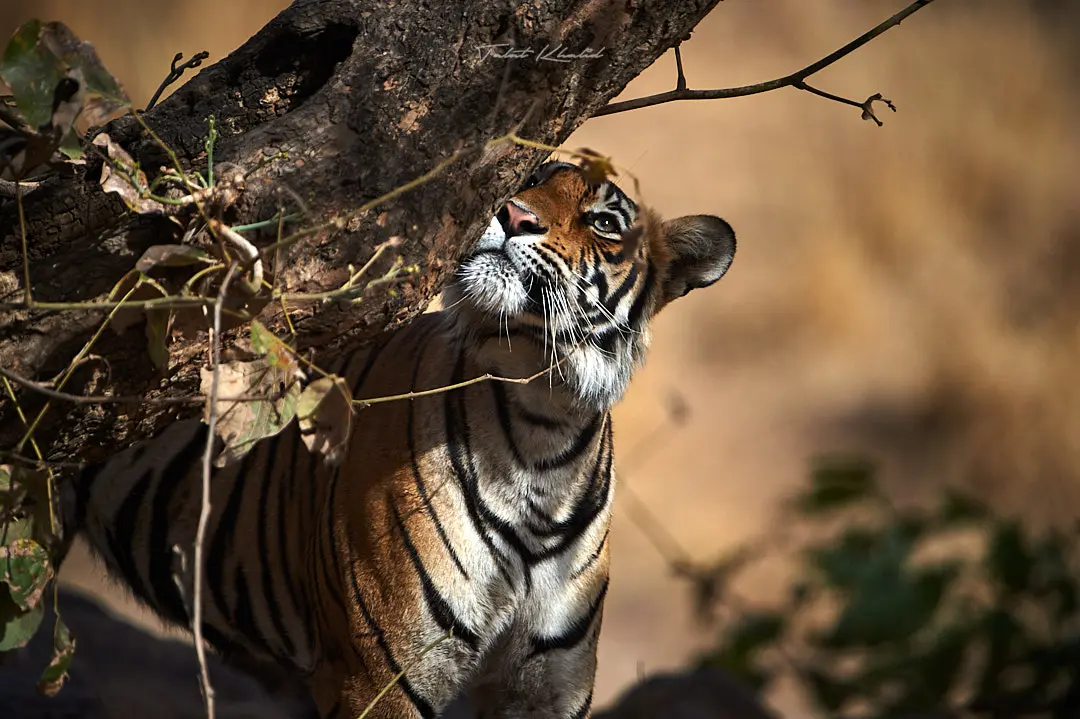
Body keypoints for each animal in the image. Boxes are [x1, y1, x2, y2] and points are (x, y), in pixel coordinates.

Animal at [63, 159, 736, 719]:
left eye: (603, 222)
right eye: (529, 178)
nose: (513, 215)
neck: (542, 423)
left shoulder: (546, 688)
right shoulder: (382, 677)